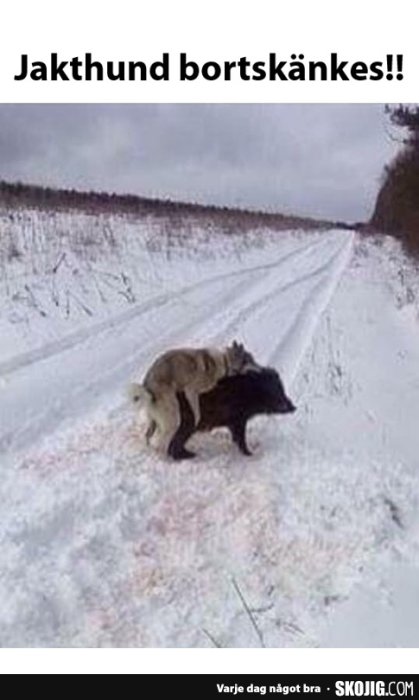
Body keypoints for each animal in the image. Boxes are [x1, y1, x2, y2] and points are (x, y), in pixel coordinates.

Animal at [130, 344, 260, 454]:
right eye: (250, 360)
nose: (261, 369)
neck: (225, 361)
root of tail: (147, 387)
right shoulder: (191, 390)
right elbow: (197, 413)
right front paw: (197, 420)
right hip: (173, 416)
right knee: (162, 444)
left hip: (154, 421)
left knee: (148, 435)